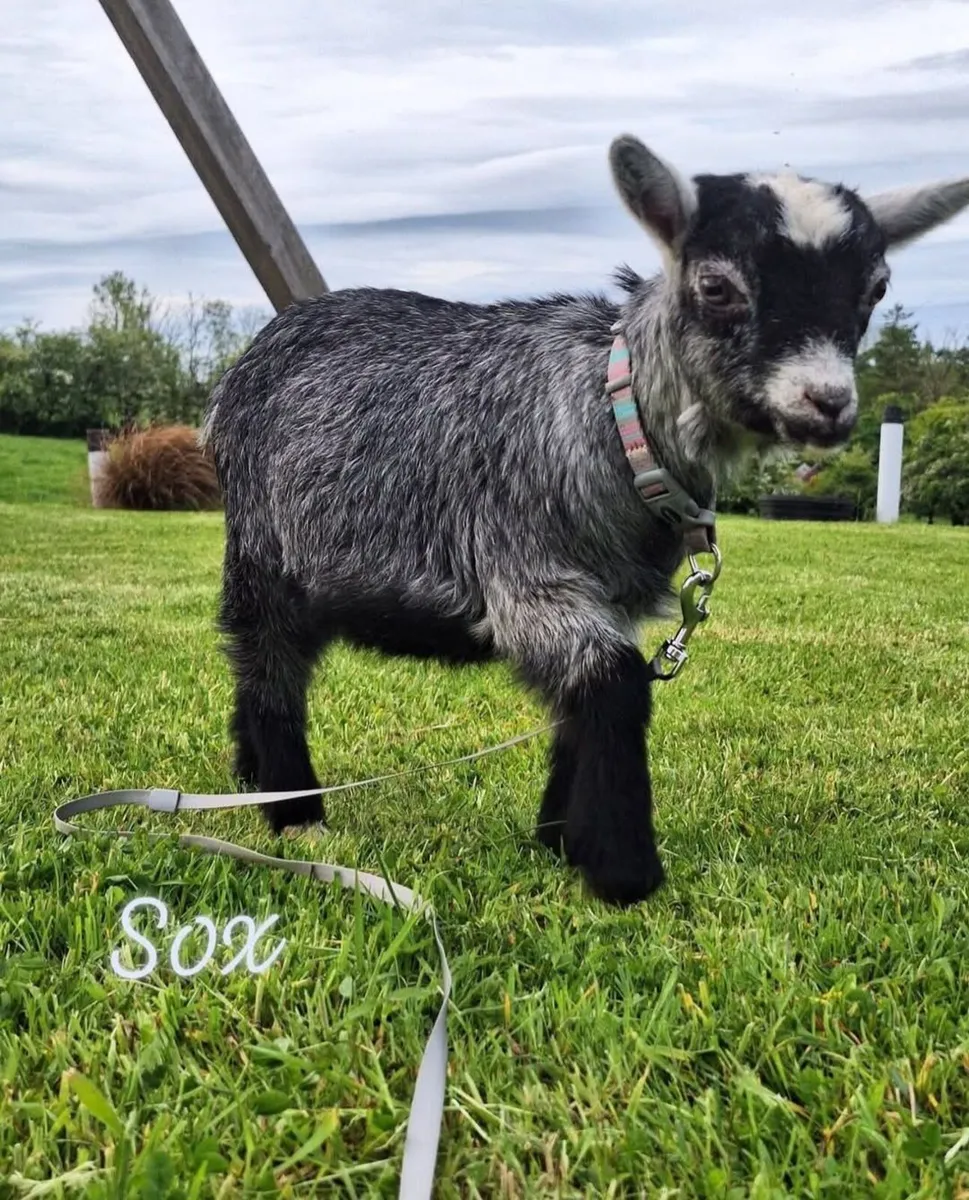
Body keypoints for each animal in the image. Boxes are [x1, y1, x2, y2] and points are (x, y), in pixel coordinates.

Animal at [202, 134, 969, 905]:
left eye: (875, 289)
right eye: (716, 286)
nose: (827, 404)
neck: (615, 416)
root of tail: (251, 357)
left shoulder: (611, 599)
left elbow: (581, 705)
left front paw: (557, 840)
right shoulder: (526, 577)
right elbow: (615, 684)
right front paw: (623, 872)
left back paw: (251, 778)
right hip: (264, 550)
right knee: (268, 661)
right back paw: (295, 812)